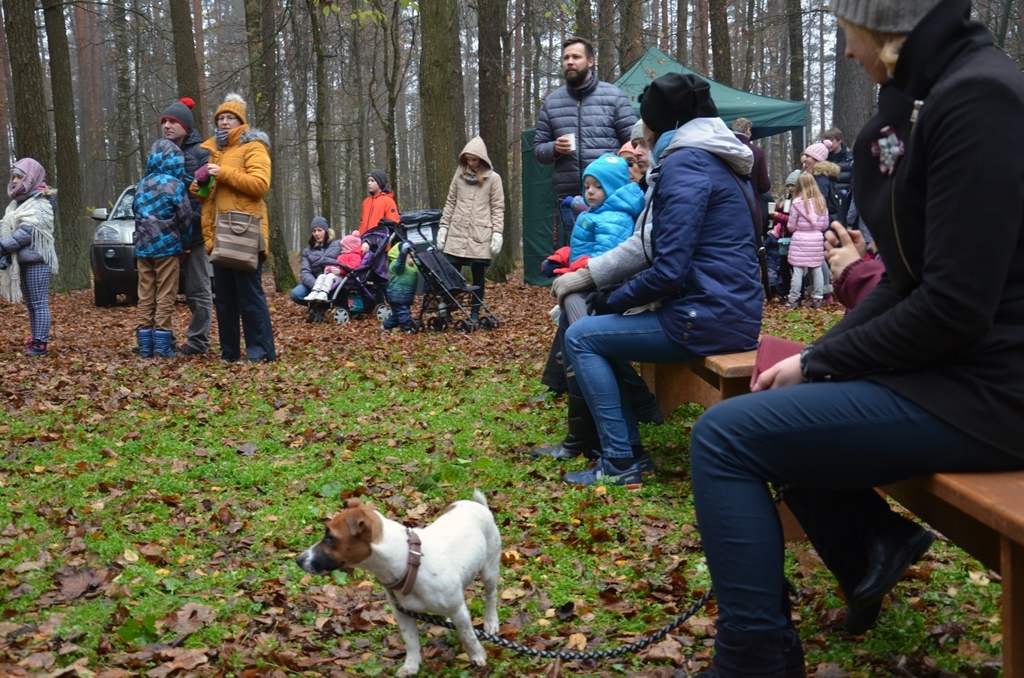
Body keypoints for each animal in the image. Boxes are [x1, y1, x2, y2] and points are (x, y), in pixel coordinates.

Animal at [294, 491, 501, 675]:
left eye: (330, 538)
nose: (299, 560)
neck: (409, 562)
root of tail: (479, 505)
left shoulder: (457, 609)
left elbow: (468, 635)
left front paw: (477, 655)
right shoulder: (403, 613)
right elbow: (411, 641)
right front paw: (411, 665)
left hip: (490, 569)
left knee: (490, 596)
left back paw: (491, 622)